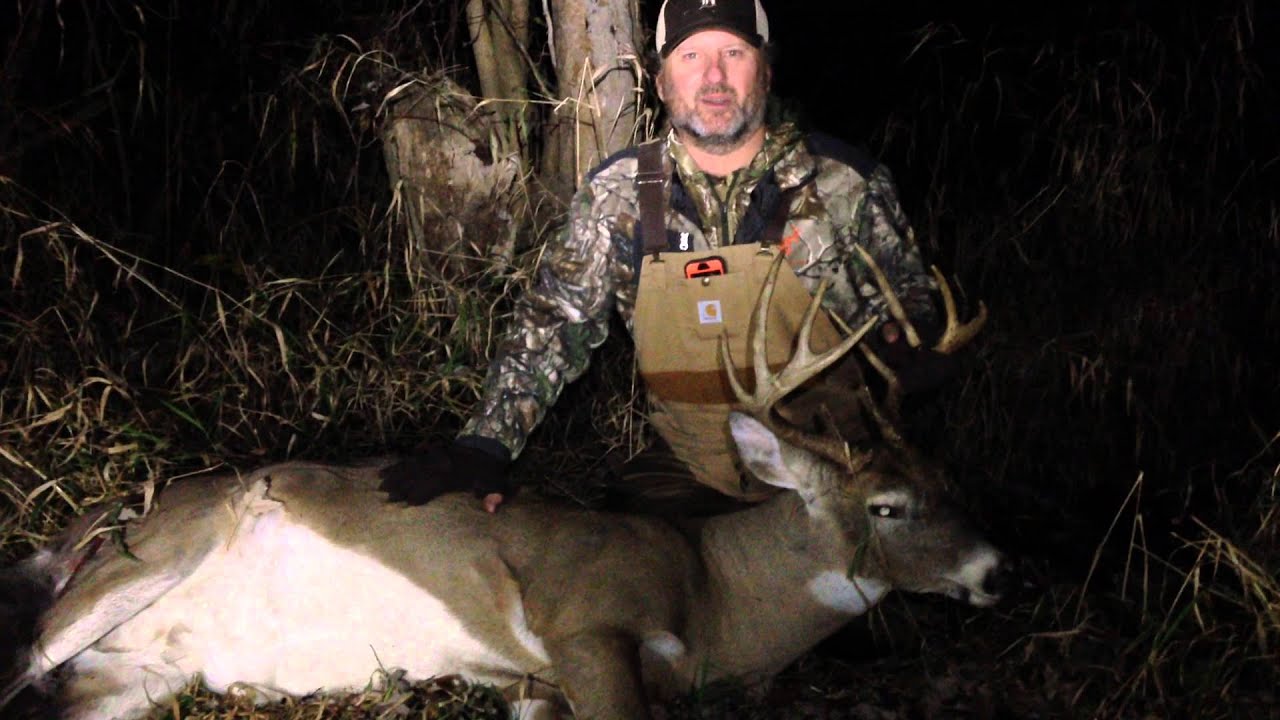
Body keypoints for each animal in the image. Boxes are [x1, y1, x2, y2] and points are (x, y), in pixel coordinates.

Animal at [0, 252, 1011, 720]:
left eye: (952, 480)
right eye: (886, 506)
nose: (998, 570)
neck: (718, 596)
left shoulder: (535, 679)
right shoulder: (584, 614)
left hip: (139, 679)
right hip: (156, 551)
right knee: (23, 656)